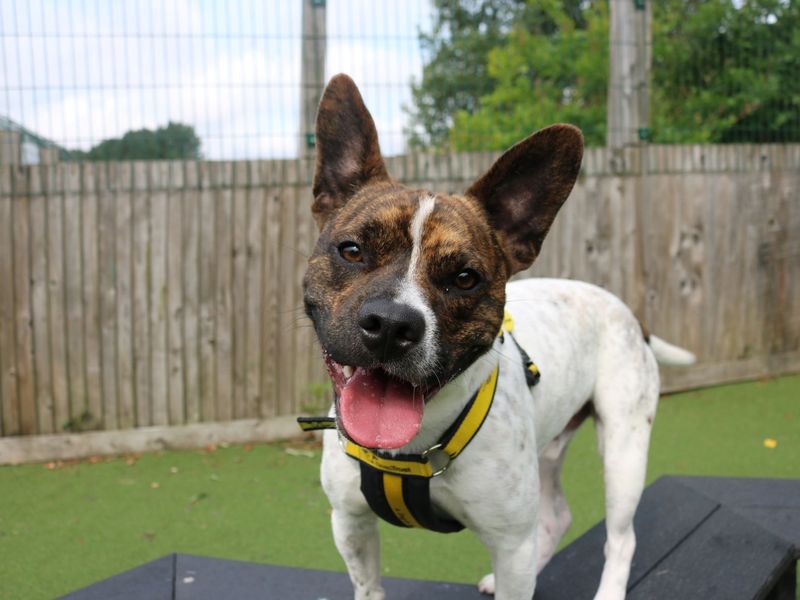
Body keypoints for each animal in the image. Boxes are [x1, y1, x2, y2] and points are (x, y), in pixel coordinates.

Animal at [300, 75, 692, 600]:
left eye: (465, 278)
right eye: (352, 250)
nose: (391, 324)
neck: (412, 448)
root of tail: (627, 311)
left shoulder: (511, 545)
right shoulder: (351, 523)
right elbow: (369, 588)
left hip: (624, 451)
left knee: (621, 537)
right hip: (549, 454)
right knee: (556, 516)